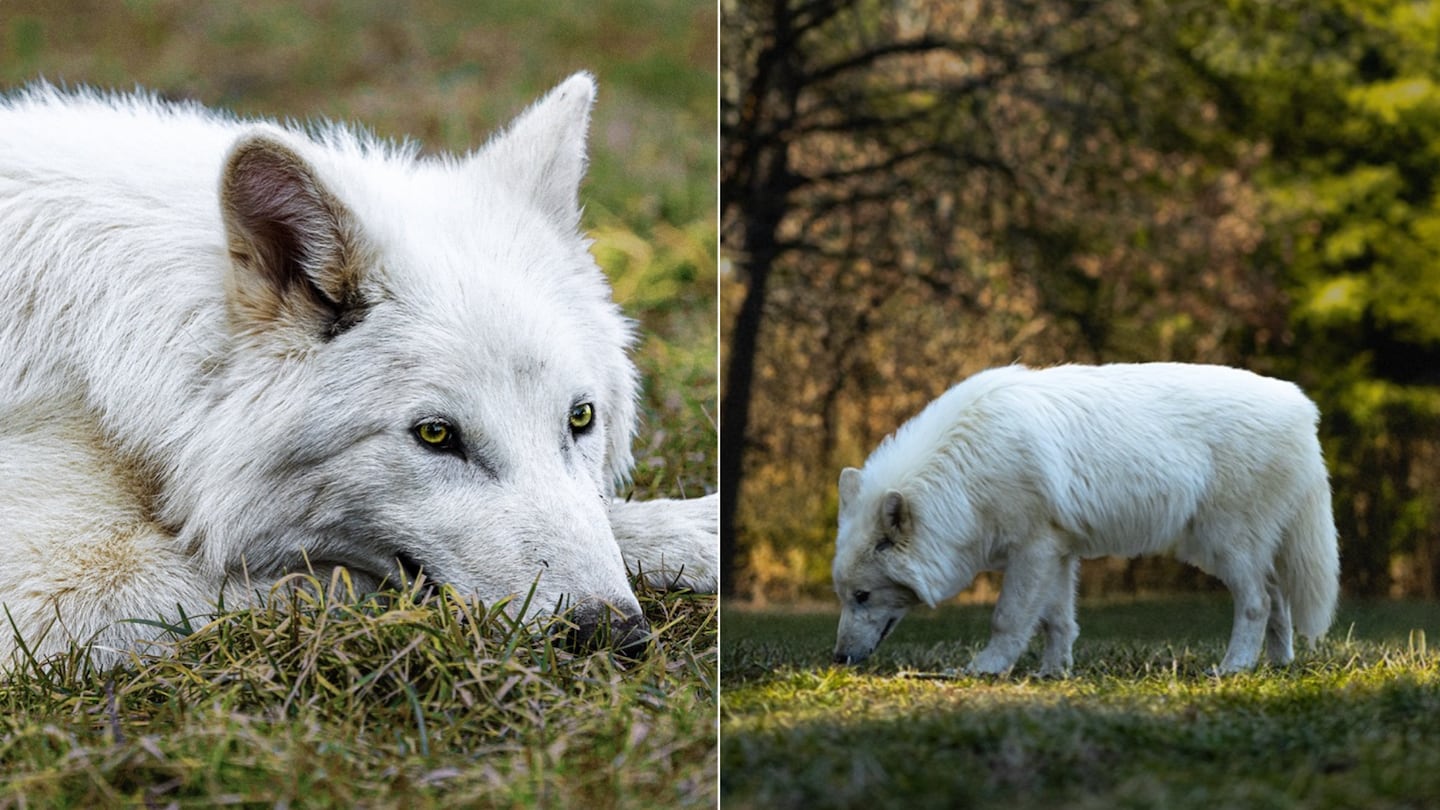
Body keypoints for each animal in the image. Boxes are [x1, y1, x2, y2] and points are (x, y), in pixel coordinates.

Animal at [0, 73, 717, 670]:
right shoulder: (44, 593)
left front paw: (696, 532)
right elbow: (337, 581)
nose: (613, 634)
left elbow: (606, 518)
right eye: (435, 435)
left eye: (581, 417)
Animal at [831, 363, 1339, 675]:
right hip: (1221, 551)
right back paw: (1276, 665)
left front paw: (985, 670)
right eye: (844, 597)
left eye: (863, 595)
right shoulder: (1057, 554)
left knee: (1258, 602)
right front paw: (1052, 673)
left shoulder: (1033, 551)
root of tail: (1302, 406)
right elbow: (1058, 622)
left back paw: (1234, 667)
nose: (837, 659)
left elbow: (1008, 619)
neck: (965, 470)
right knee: (1278, 598)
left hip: (1224, 548)